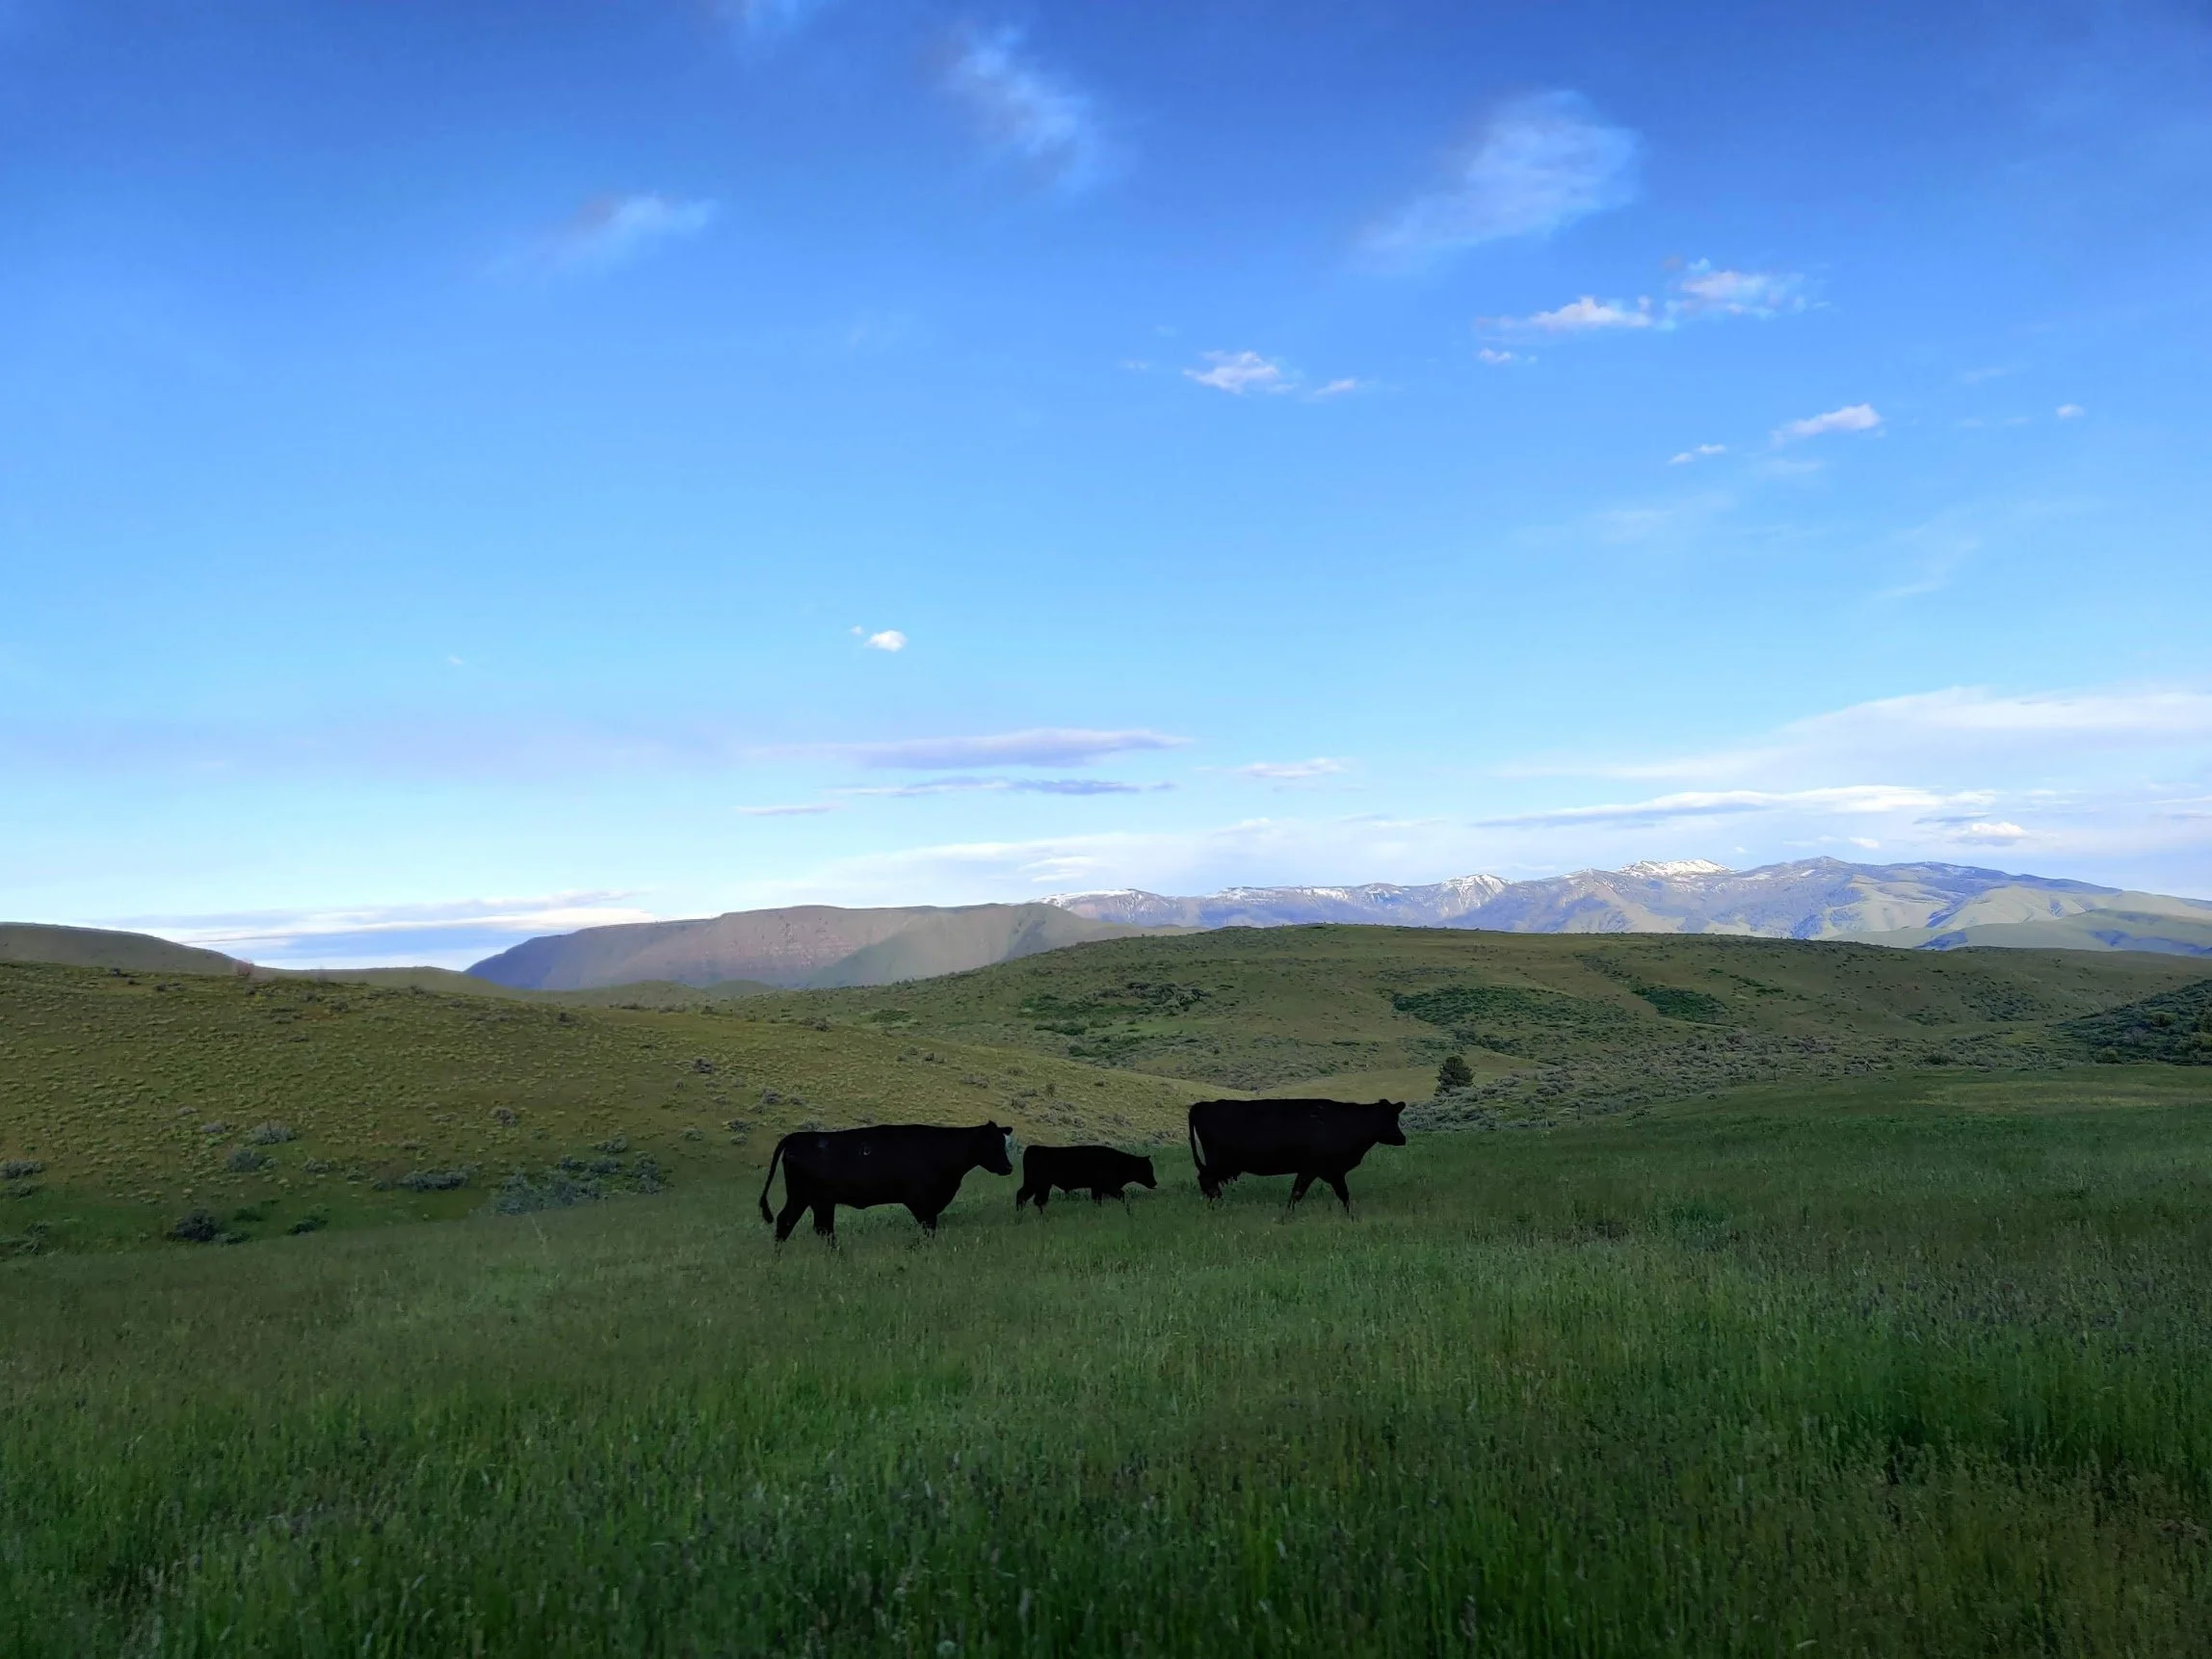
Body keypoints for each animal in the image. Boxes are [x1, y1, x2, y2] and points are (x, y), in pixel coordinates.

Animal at [756, 1121, 1012, 1243]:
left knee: (800, 1224)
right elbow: (928, 1227)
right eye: (991, 1143)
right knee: (804, 1225)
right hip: (811, 1198)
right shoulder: (920, 1200)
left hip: (810, 1200)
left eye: (1002, 1141)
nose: (1009, 1167)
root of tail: (796, 1137)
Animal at [1014, 1144, 1158, 1213]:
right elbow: (1122, 1196)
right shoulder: (1109, 1187)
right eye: (1147, 1169)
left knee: (1028, 1198)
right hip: (1039, 1185)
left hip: (1038, 1186)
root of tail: (1033, 1148)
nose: (1155, 1183)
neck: (1121, 1162)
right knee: (1032, 1199)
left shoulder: (1097, 1189)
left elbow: (1098, 1201)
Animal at [1186, 1098, 1406, 1215]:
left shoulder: (1320, 1170)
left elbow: (1303, 1193)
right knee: (1206, 1179)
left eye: (1395, 1116)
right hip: (1219, 1161)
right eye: (1389, 1118)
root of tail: (1202, 1105)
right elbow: (1333, 1194)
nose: (1402, 1138)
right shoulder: (1324, 1169)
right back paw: (1217, 1202)